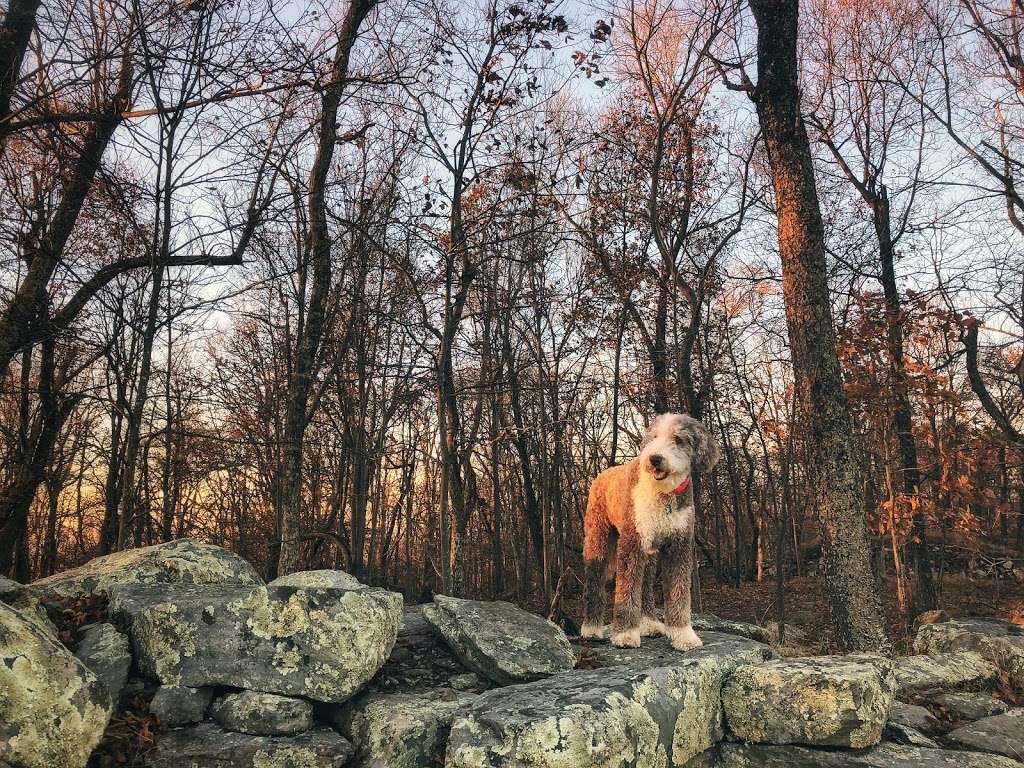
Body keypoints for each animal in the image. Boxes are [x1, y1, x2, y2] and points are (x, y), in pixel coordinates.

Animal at [585, 415, 720, 651]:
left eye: (678, 439)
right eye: (654, 437)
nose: (655, 458)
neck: (663, 494)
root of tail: (603, 474)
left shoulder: (679, 546)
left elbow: (679, 592)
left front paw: (683, 635)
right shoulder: (632, 543)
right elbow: (627, 589)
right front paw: (625, 635)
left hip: (650, 553)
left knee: (646, 584)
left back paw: (649, 624)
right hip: (598, 538)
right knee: (595, 580)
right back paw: (591, 629)